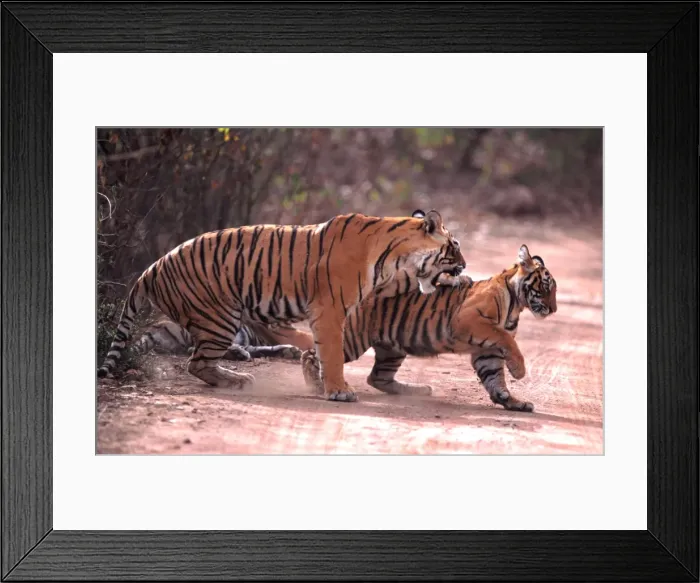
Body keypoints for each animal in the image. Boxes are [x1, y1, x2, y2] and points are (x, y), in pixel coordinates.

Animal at [97, 209, 467, 402]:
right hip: (219, 318)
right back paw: (237, 380)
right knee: (196, 362)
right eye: (455, 246)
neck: (393, 256)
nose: (464, 266)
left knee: (201, 361)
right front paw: (338, 390)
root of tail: (151, 268)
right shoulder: (330, 310)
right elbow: (332, 353)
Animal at [301, 244, 557, 412]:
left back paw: (418, 390)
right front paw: (518, 370)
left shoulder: (487, 351)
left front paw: (511, 401)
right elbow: (507, 339)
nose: (554, 310)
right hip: (353, 339)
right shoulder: (469, 321)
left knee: (377, 377)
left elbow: (494, 376)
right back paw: (320, 386)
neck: (517, 304)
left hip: (392, 347)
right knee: (313, 356)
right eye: (546, 287)